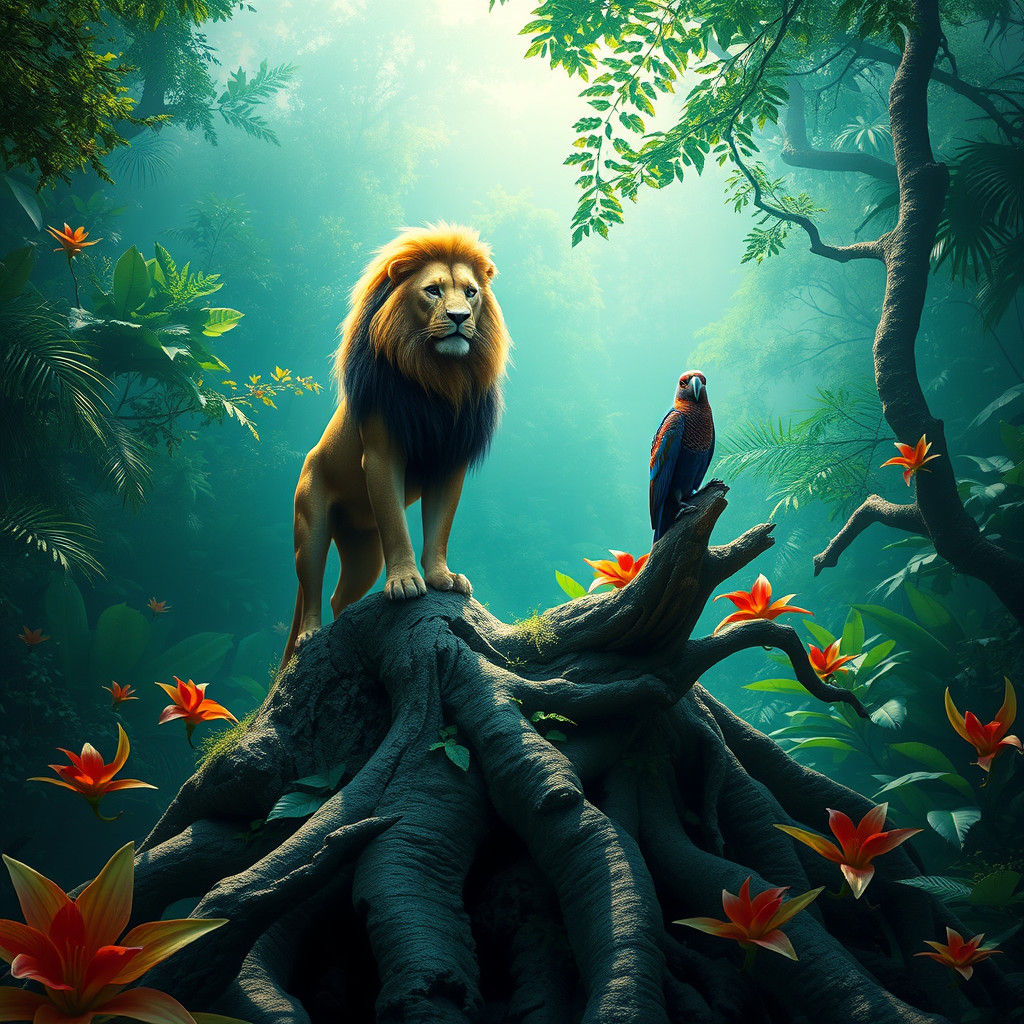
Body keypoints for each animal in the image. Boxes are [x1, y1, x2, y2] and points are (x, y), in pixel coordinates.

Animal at [280, 223, 511, 668]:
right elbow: (397, 526)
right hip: (311, 522)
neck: (440, 379)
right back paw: (310, 635)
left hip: (364, 551)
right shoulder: (382, 454)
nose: (460, 318)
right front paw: (405, 582)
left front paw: (442, 578)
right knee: (312, 583)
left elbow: (438, 527)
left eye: (471, 292)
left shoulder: (450, 462)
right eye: (433, 291)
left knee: (339, 596)